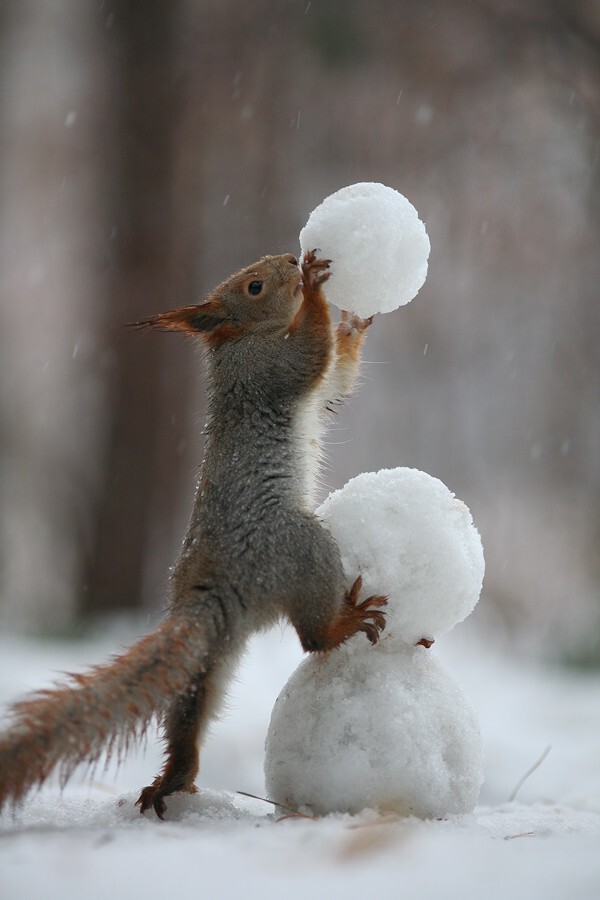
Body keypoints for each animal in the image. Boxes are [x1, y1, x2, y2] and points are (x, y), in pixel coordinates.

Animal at [0, 250, 386, 820]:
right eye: (254, 286)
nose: (289, 258)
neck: (240, 338)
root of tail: (215, 591)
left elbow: (336, 375)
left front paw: (353, 322)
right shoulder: (268, 368)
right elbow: (313, 356)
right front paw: (316, 289)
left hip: (211, 661)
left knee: (190, 714)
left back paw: (170, 781)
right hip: (302, 546)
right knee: (313, 639)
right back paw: (347, 621)